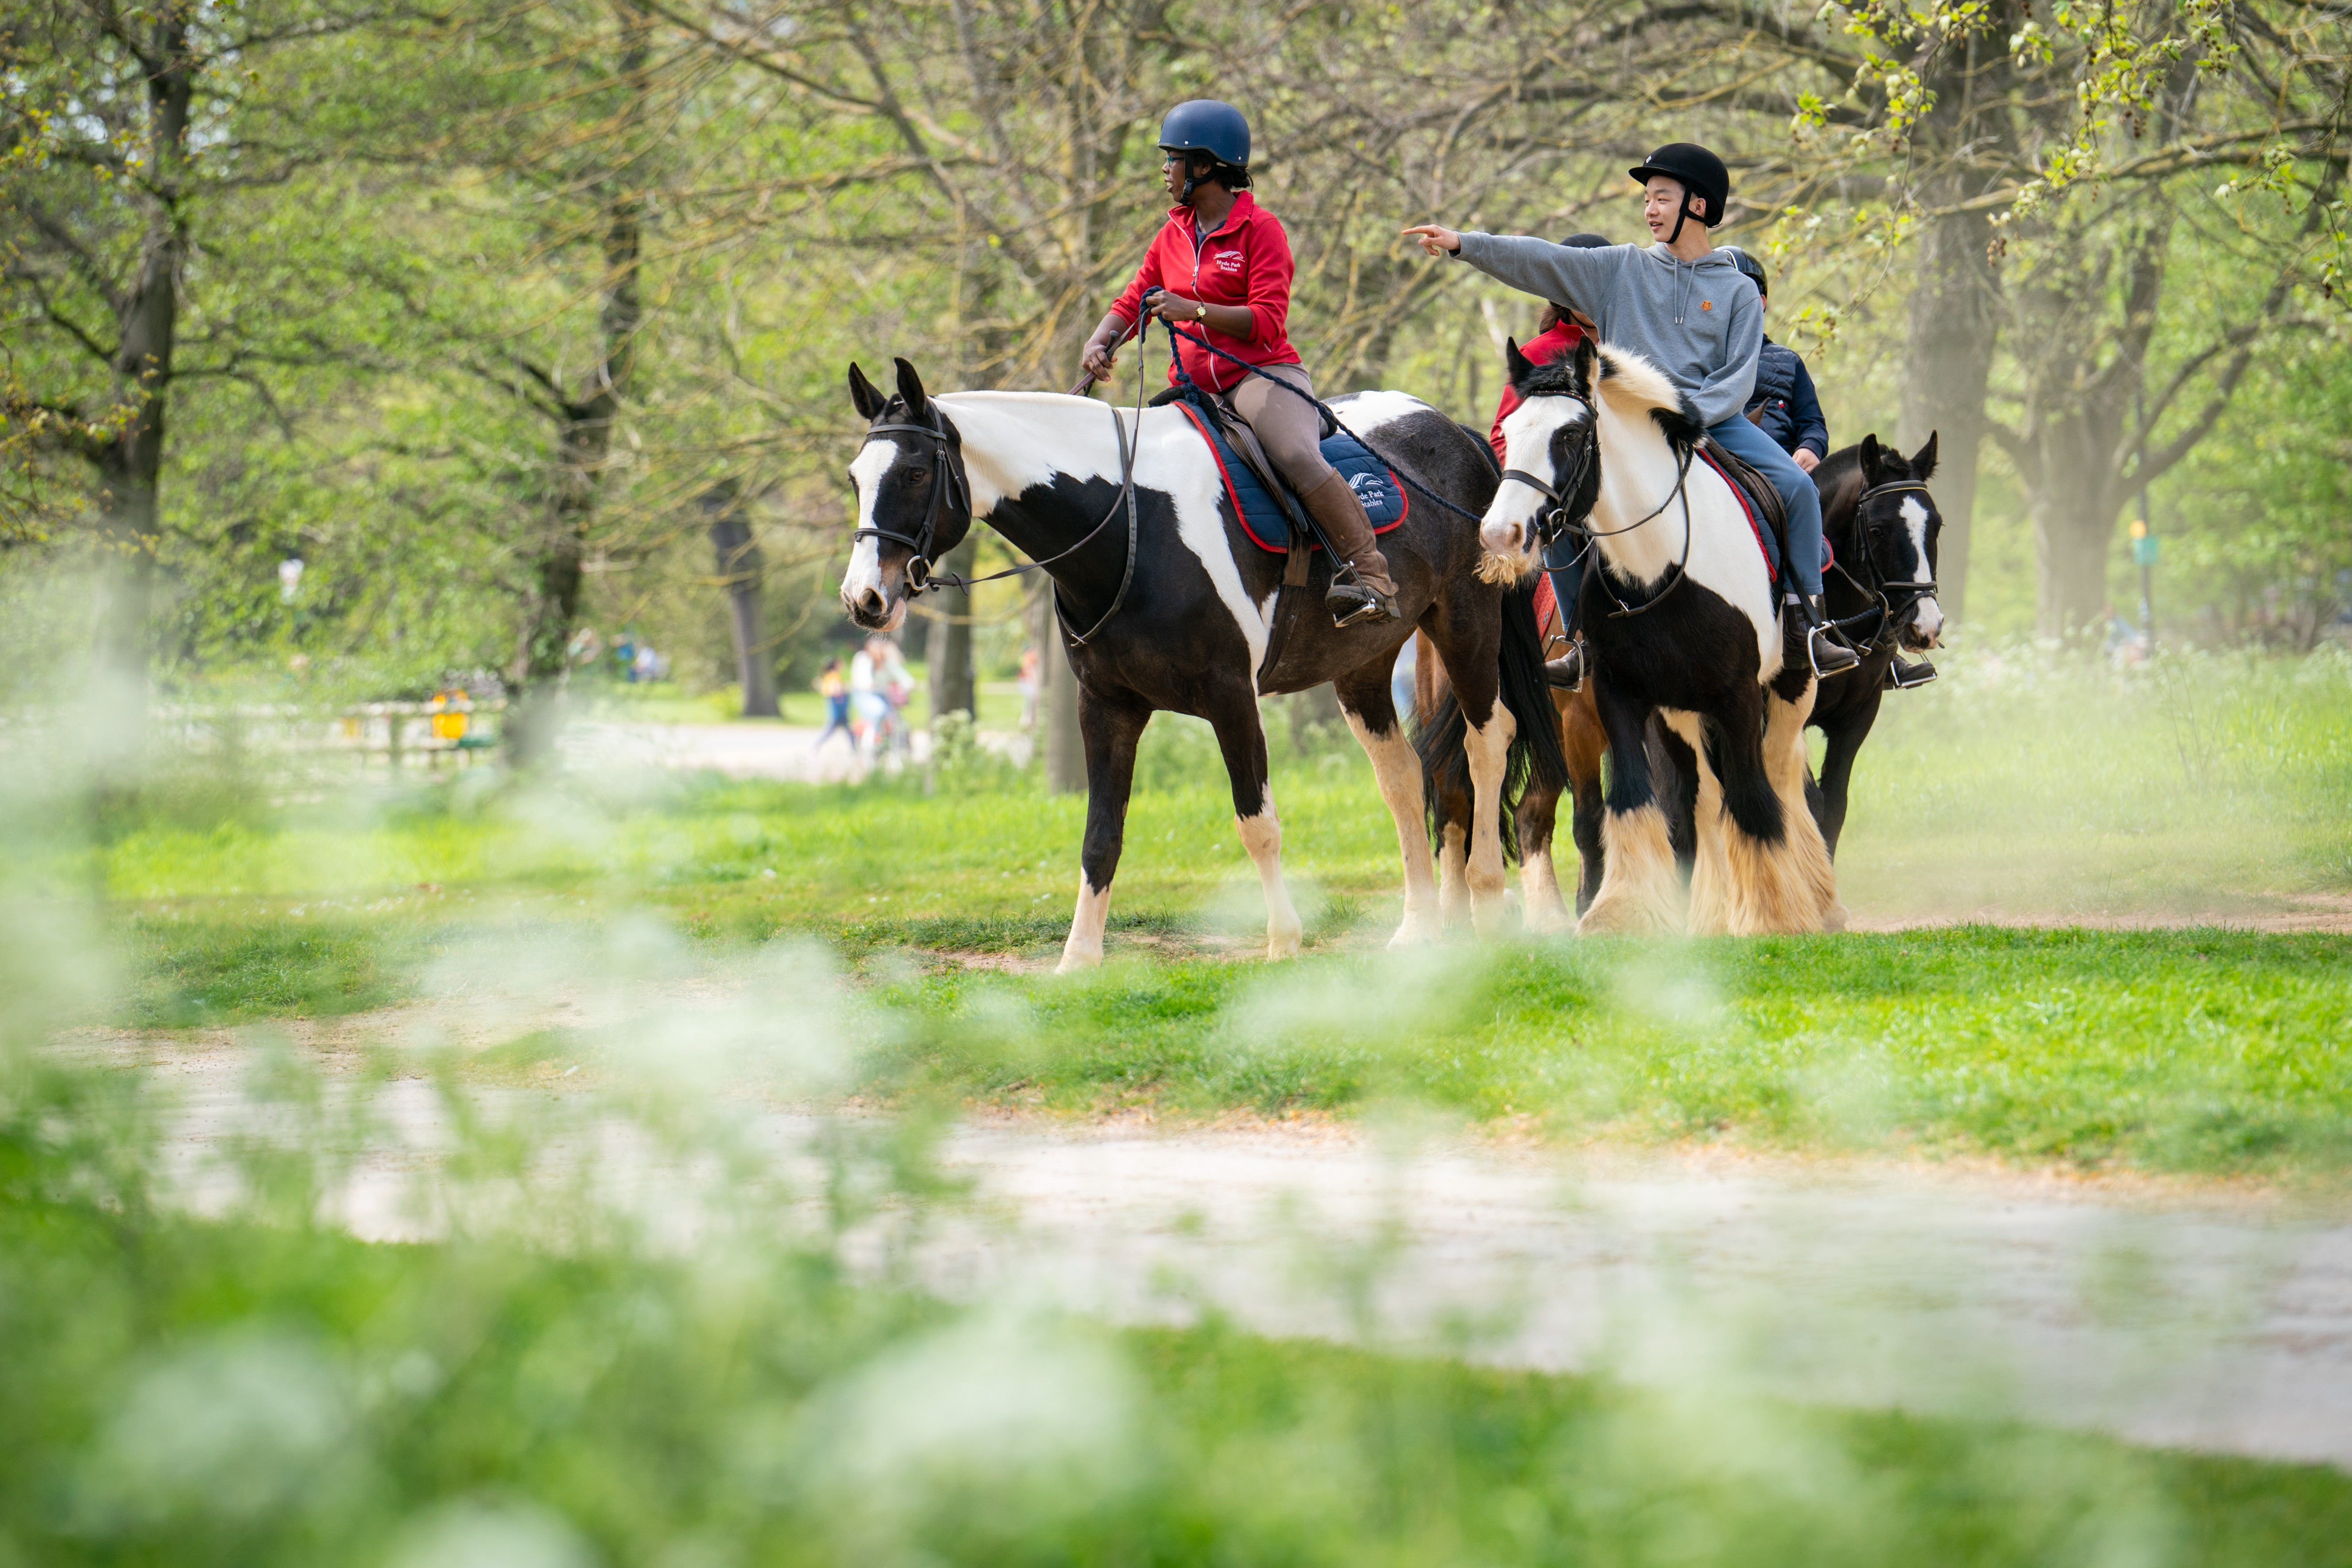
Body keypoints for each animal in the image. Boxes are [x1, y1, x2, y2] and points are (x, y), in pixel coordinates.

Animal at [842, 360, 1562, 968]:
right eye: (855, 477)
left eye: (913, 474)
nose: (863, 599)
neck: (1132, 523)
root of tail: (1454, 431)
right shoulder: (1105, 707)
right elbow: (1101, 835)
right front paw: (1079, 960)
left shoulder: (1230, 697)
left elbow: (1257, 824)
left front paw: (1282, 942)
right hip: (1362, 666)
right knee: (1404, 779)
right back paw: (1417, 931)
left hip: (1465, 626)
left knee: (1486, 743)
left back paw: (1488, 898)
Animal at [1467, 338, 1834, 940]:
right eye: (1510, 429)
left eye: (1570, 435)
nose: (1501, 534)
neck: (1658, 570)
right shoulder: (1619, 695)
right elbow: (1634, 799)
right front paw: (1623, 912)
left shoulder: (1738, 696)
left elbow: (1753, 800)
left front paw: (1771, 916)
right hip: (1677, 713)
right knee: (1699, 797)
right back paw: (1713, 909)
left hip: (1789, 688)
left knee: (1779, 777)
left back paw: (1814, 897)